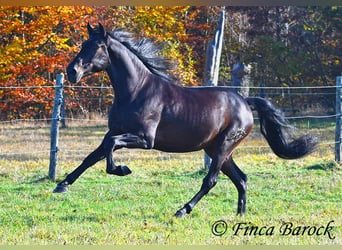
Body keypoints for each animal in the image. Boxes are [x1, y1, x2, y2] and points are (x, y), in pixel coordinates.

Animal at [54, 24, 318, 218]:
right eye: (83, 44)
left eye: (98, 46)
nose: (72, 72)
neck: (136, 91)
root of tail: (244, 101)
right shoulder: (113, 132)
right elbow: (92, 156)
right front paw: (62, 185)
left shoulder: (144, 139)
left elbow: (109, 149)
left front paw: (121, 169)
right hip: (217, 149)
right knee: (241, 179)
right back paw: (240, 215)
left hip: (223, 148)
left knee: (211, 180)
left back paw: (183, 210)